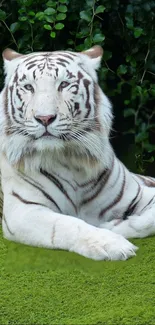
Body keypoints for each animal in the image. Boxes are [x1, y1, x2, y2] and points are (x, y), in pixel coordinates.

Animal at [0, 45, 155, 260]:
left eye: (64, 84)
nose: (45, 118)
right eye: (29, 87)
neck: (71, 159)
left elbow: (150, 220)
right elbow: (68, 224)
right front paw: (112, 243)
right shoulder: (22, 210)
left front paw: (115, 226)